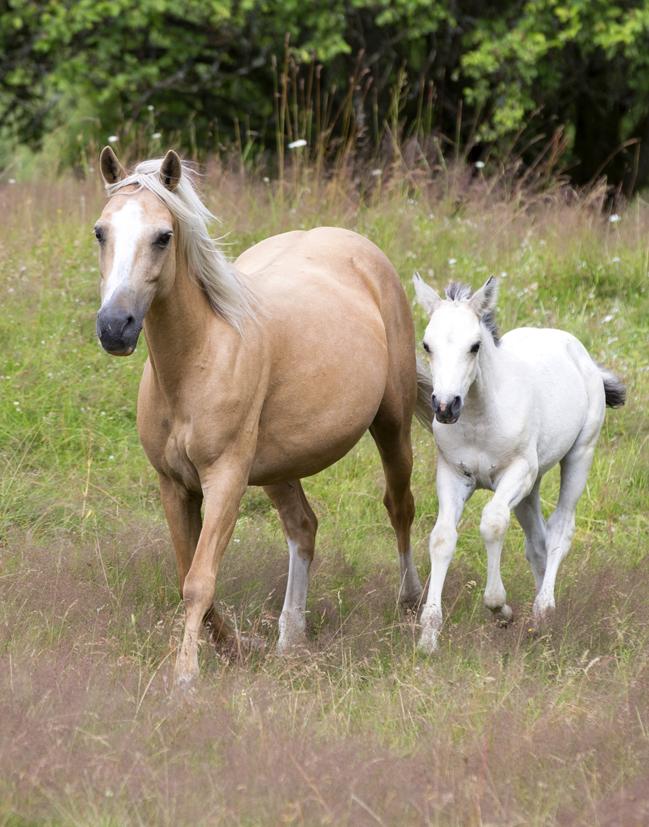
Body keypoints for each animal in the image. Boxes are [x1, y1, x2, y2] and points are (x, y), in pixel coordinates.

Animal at [93, 147, 422, 684]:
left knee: (400, 506)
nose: (114, 327)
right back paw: (290, 638)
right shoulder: (173, 485)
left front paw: (186, 676)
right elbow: (188, 574)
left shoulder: (225, 478)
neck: (199, 359)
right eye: (101, 232)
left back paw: (411, 603)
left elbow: (199, 580)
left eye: (163, 236)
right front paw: (235, 646)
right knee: (303, 527)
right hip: (278, 466)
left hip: (392, 427)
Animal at [412, 276, 624, 652]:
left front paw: (500, 607)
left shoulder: (518, 472)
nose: (446, 406)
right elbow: (441, 538)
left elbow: (493, 522)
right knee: (537, 541)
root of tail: (581, 354)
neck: (480, 419)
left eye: (474, 346)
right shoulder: (452, 475)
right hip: (532, 487)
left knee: (560, 529)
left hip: (579, 456)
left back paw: (544, 609)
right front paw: (429, 635)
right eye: (427, 345)